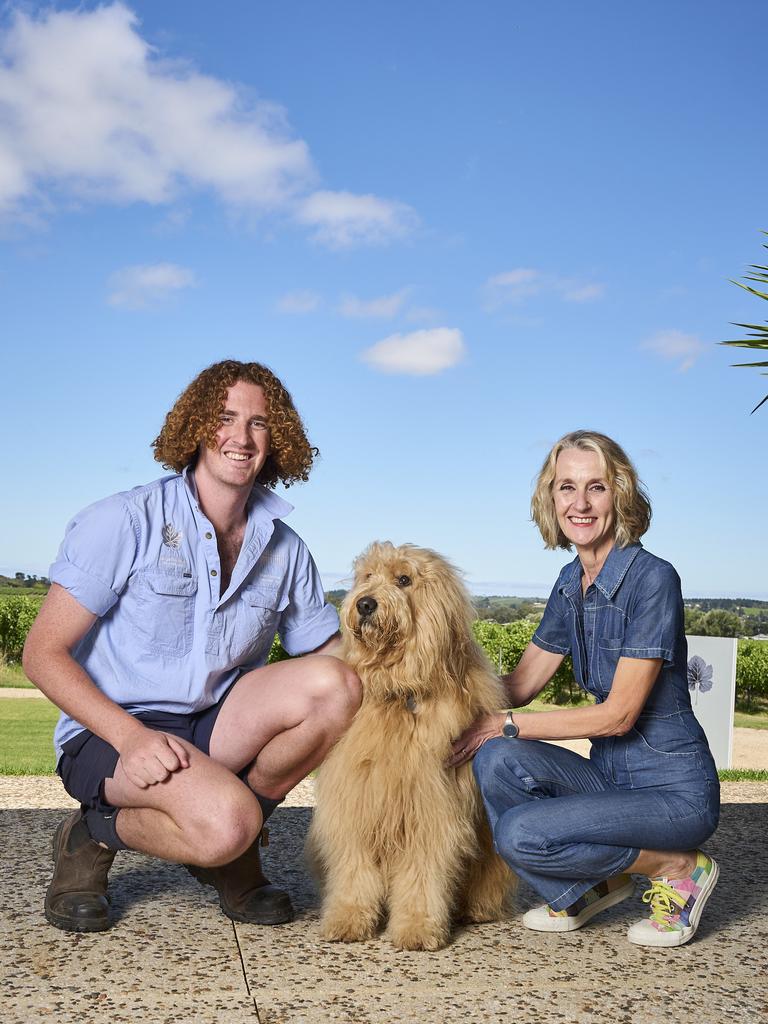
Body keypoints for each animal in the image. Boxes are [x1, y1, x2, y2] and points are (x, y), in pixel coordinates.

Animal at [309, 544, 514, 950]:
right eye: (367, 576)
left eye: (404, 579)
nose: (365, 604)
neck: (398, 691)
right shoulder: (356, 803)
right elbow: (354, 872)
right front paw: (348, 919)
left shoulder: (431, 811)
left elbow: (422, 876)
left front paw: (418, 927)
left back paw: (476, 909)